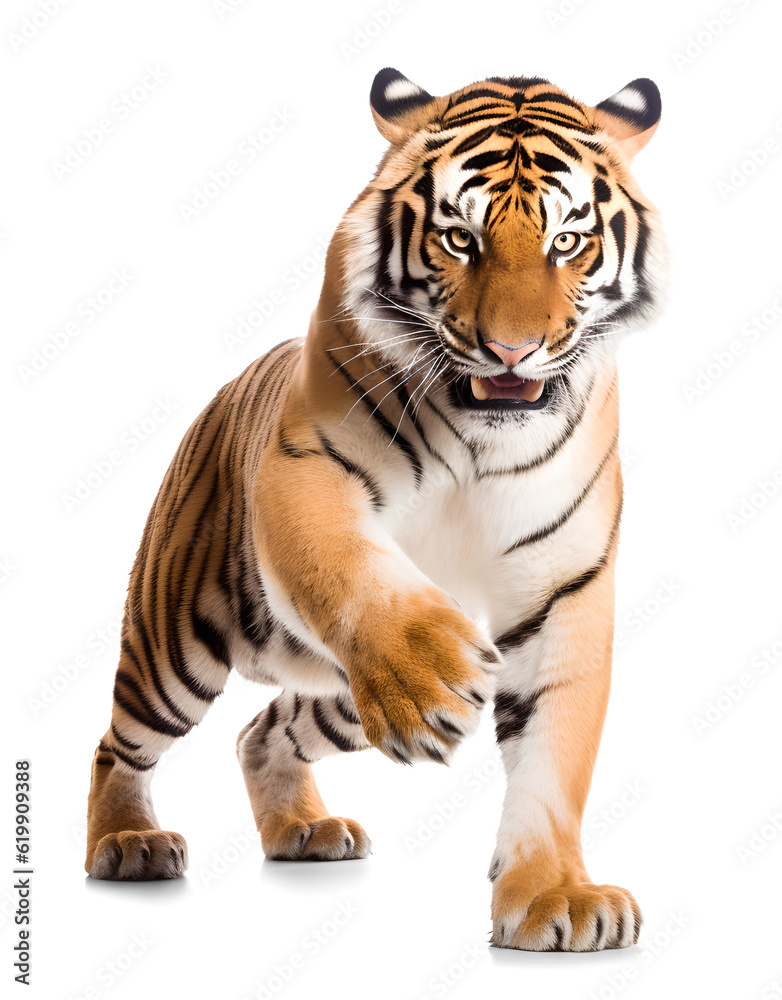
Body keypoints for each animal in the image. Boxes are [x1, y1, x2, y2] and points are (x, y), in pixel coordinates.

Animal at [84, 67, 664, 953]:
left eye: (568, 242)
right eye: (460, 239)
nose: (513, 350)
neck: (482, 434)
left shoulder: (565, 584)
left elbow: (555, 752)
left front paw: (557, 895)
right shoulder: (306, 469)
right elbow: (346, 567)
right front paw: (423, 676)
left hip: (336, 701)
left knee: (261, 731)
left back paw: (303, 831)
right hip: (174, 647)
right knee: (118, 743)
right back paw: (126, 842)